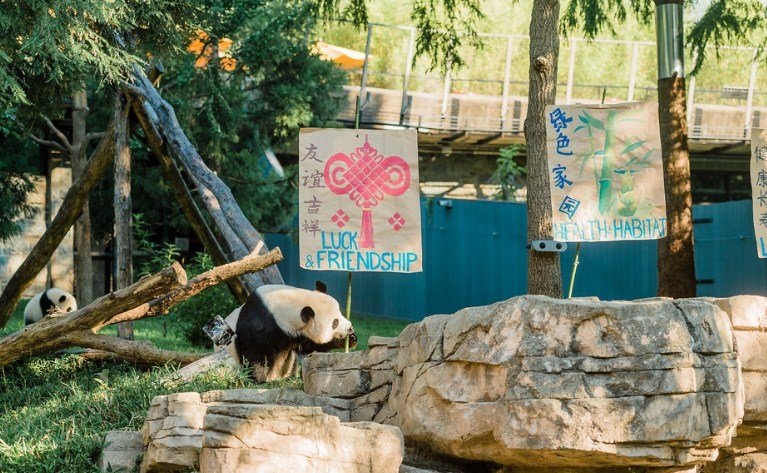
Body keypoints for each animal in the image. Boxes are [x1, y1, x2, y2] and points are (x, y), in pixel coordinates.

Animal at [226, 278, 358, 382]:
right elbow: (255, 353)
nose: (349, 328)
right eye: (335, 322)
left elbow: (312, 345)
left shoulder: (297, 334)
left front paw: (351, 339)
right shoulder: (260, 324)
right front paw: (259, 380)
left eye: (340, 312)